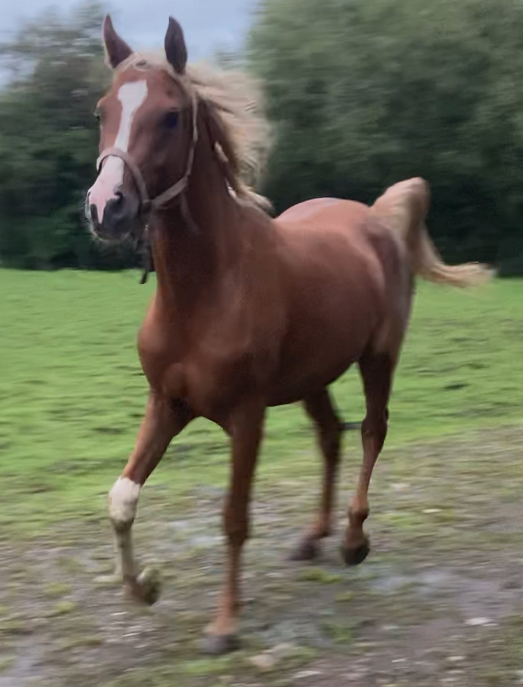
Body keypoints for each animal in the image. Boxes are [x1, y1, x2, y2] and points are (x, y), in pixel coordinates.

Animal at [85, 15, 490, 654]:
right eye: (102, 111)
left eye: (170, 116)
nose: (106, 208)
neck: (204, 291)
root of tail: (376, 218)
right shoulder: (168, 403)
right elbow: (121, 499)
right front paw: (145, 587)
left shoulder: (247, 416)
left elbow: (234, 516)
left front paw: (224, 625)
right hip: (312, 376)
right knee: (330, 436)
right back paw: (312, 537)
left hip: (379, 357)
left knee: (372, 430)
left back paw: (352, 540)